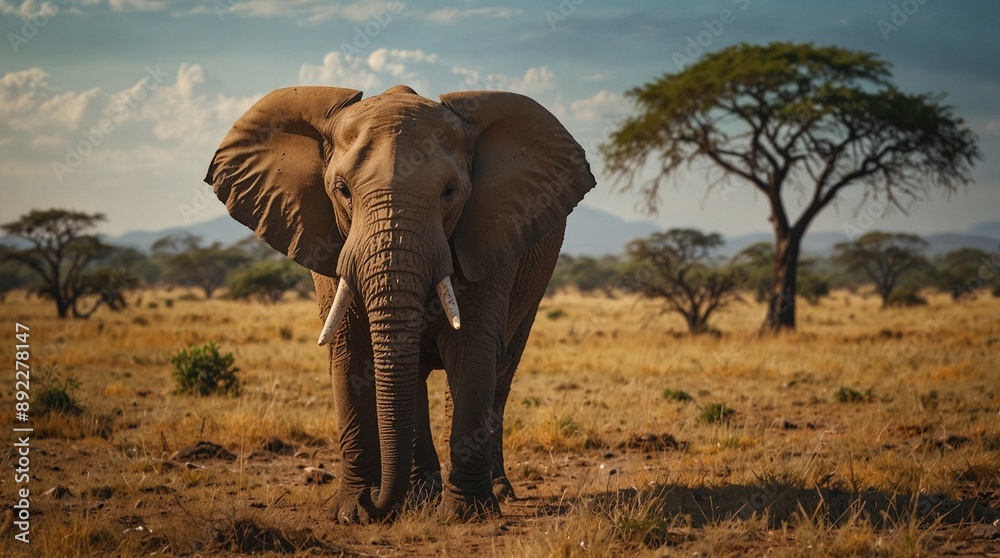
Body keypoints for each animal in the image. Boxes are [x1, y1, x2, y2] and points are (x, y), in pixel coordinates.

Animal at [205, 84, 595, 522]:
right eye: (342, 190)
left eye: (449, 192)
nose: (378, 504)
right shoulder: (329, 241)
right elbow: (348, 351)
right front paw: (352, 512)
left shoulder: (490, 231)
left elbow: (472, 351)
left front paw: (465, 515)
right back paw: (421, 494)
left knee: (500, 370)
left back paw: (488, 491)